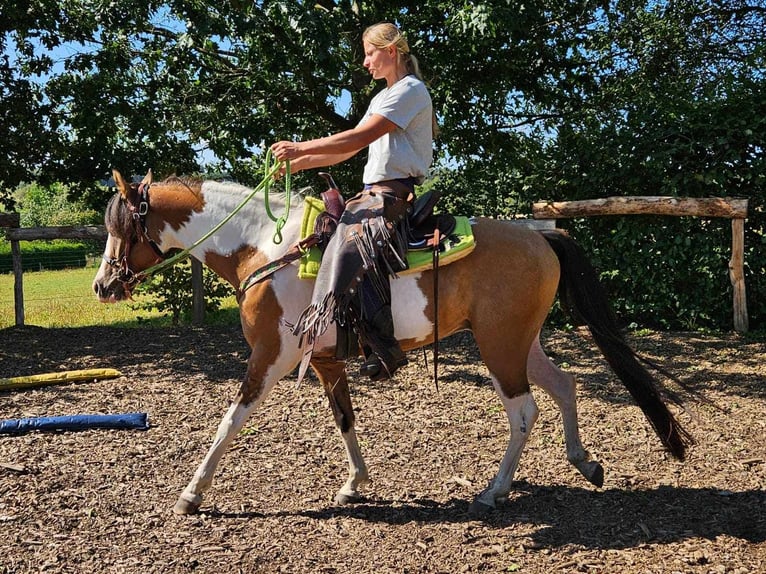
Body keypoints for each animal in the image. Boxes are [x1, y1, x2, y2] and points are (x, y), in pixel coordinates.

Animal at [93, 169, 692, 516]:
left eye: (122, 227)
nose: (102, 286)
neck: (261, 248)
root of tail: (540, 233)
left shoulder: (269, 357)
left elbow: (229, 422)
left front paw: (191, 494)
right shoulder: (325, 362)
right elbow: (344, 418)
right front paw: (354, 483)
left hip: (500, 348)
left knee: (524, 412)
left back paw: (493, 491)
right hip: (521, 342)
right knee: (565, 387)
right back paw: (585, 463)